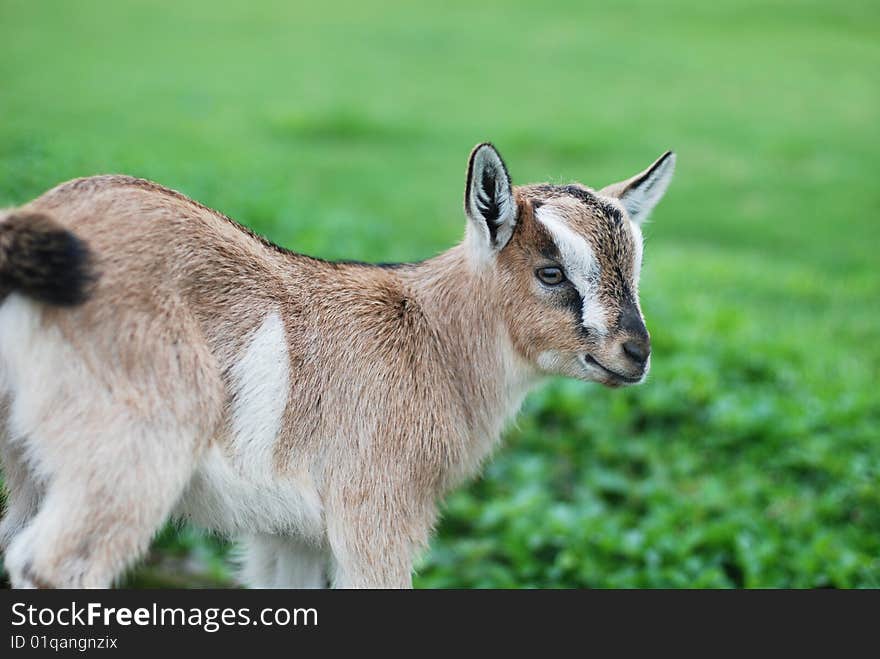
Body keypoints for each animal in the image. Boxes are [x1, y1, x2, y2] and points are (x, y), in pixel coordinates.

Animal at [0, 143, 672, 588]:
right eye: (551, 272)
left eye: (635, 269)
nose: (635, 354)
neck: (431, 335)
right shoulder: (377, 509)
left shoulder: (291, 532)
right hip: (132, 450)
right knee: (55, 565)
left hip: (33, 462)